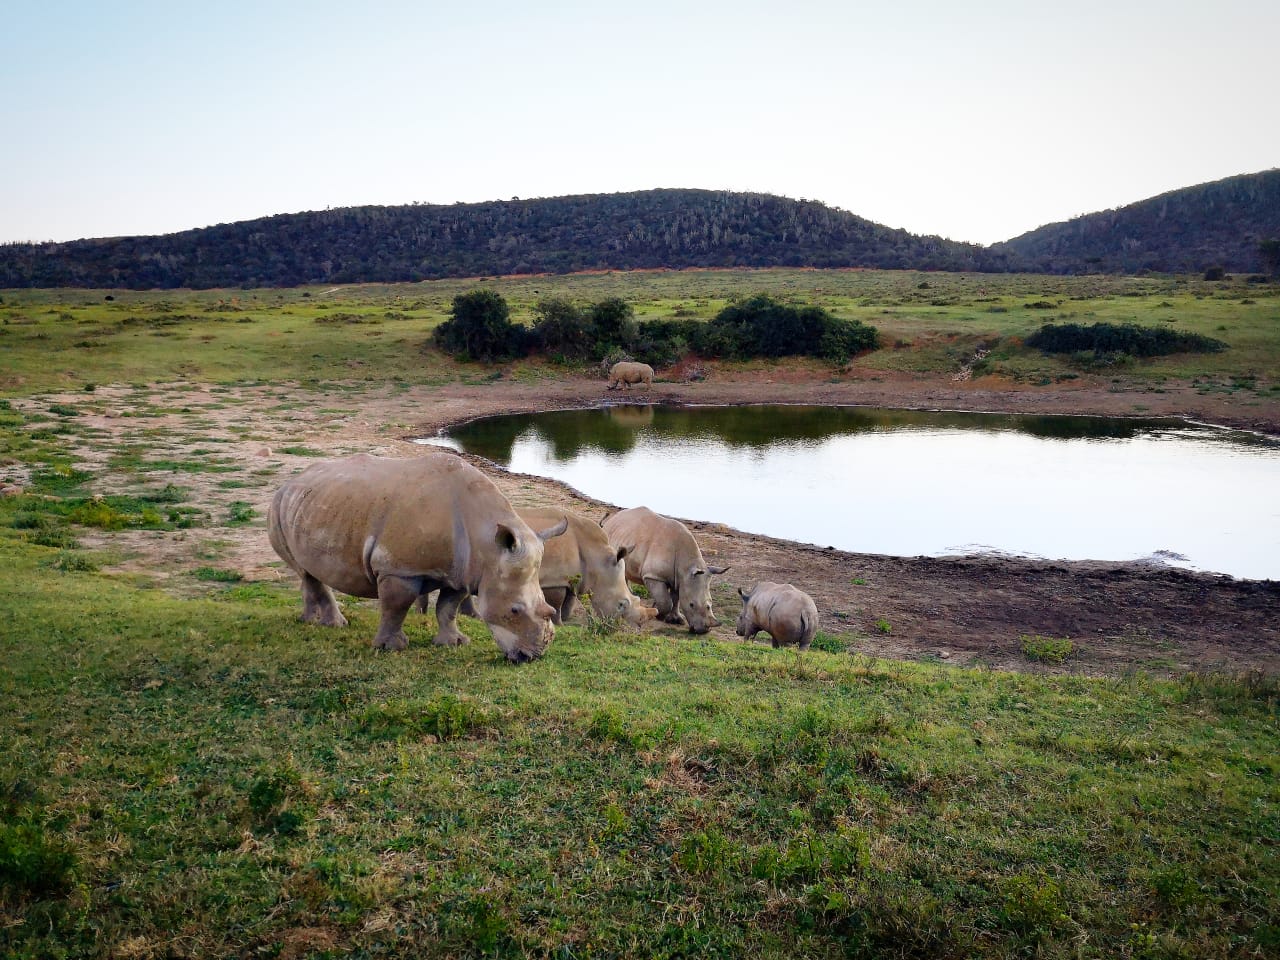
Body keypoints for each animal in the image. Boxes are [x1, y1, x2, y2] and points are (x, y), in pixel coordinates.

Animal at [268, 455, 565, 665]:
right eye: (514, 611)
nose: (532, 656)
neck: (487, 547)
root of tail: (292, 481)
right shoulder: (399, 569)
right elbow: (396, 606)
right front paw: (391, 647)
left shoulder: (463, 573)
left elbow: (447, 608)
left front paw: (454, 643)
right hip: (278, 506)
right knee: (304, 570)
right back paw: (333, 625)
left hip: (312, 505)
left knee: (308, 571)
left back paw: (310, 620)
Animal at [601, 506, 732, 634]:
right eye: (692, 604)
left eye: (711, 604)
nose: (703, 631)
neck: (686, 566)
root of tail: (614, 518)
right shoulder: (653, 576)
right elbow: (666, 601)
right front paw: (659, 615)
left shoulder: (680, 579)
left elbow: (676, 598)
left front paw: (675, 619)